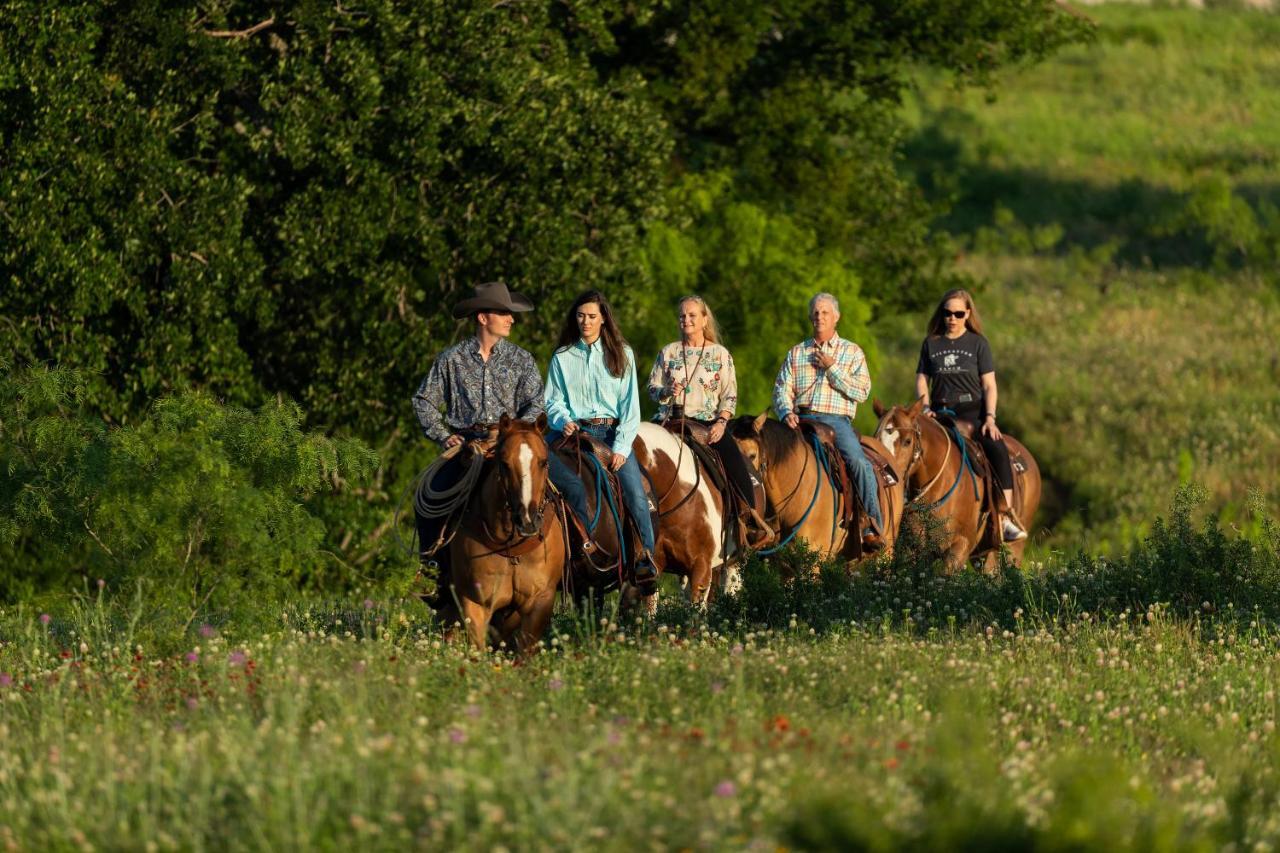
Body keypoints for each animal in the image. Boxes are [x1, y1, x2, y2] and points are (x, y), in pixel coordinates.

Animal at [870, 394, 1039, 568]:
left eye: (907, 441)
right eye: (877, 439)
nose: (888, 477)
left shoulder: (959, 547)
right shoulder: (913, 550)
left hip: (1013, 550)